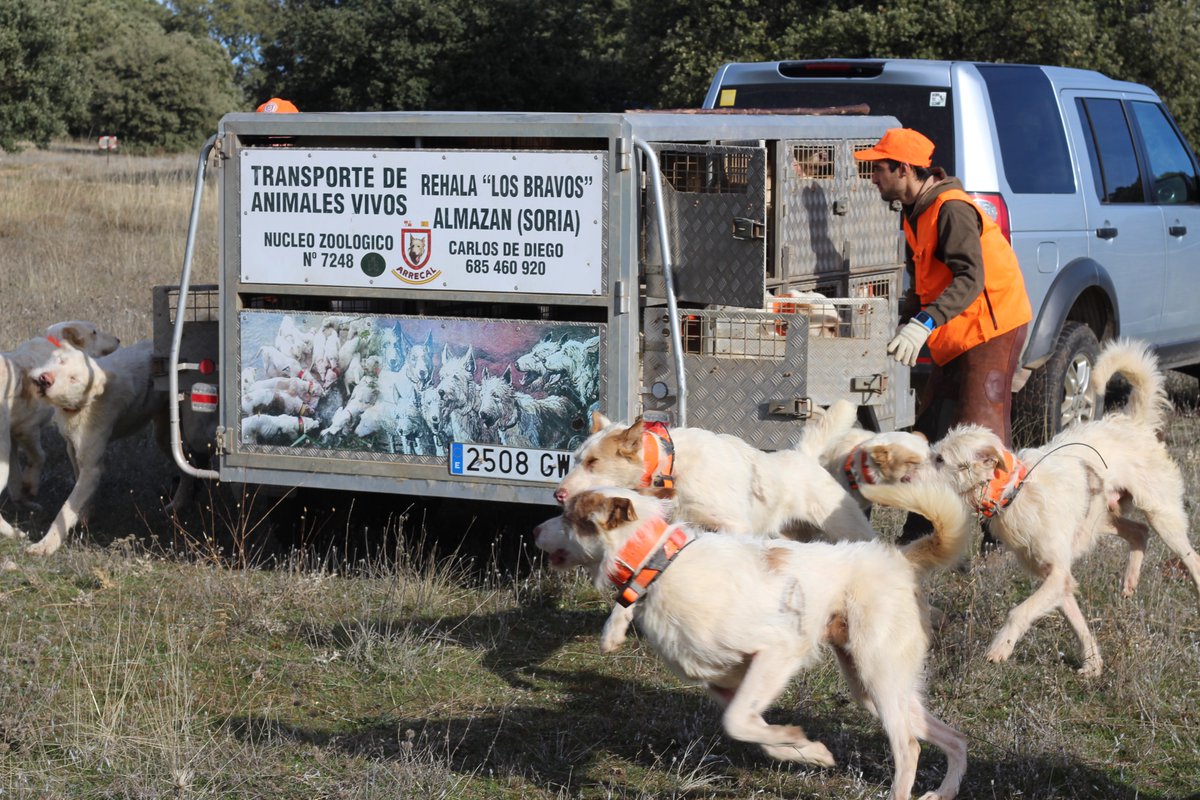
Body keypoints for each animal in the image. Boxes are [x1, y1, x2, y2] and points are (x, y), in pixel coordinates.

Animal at [1, 321, 120, 542]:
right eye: (94, 332)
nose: (118, 339)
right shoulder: (27, 429)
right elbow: (39, 457)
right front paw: (30, 486)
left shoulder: (13, 436)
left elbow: (15, 477)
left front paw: (23, 501)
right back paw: (14, 533)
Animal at [23, 338, 189, 556]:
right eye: (60, 361)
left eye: (74, 379)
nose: (45, 379)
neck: (84, 405)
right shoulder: (73, 449)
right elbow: (78, 490)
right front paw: (84, 514)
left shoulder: (93, 468)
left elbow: (65, 509)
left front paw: (46, 545)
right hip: (163, 437)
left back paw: (178, 505)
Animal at [921, 338, 1195, 676]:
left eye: (940, 459)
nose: (908, 470)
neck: (1015, 492)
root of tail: (1133, 424)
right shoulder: (1057, 578)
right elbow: (1077, 623)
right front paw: (1092, 662)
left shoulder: (1056, 574)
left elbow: (1018, 612)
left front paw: (1000, 648)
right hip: (1102, 519)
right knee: (1139, 531)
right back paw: (1129, 581)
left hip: (1163, 517)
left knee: (1190, 557)